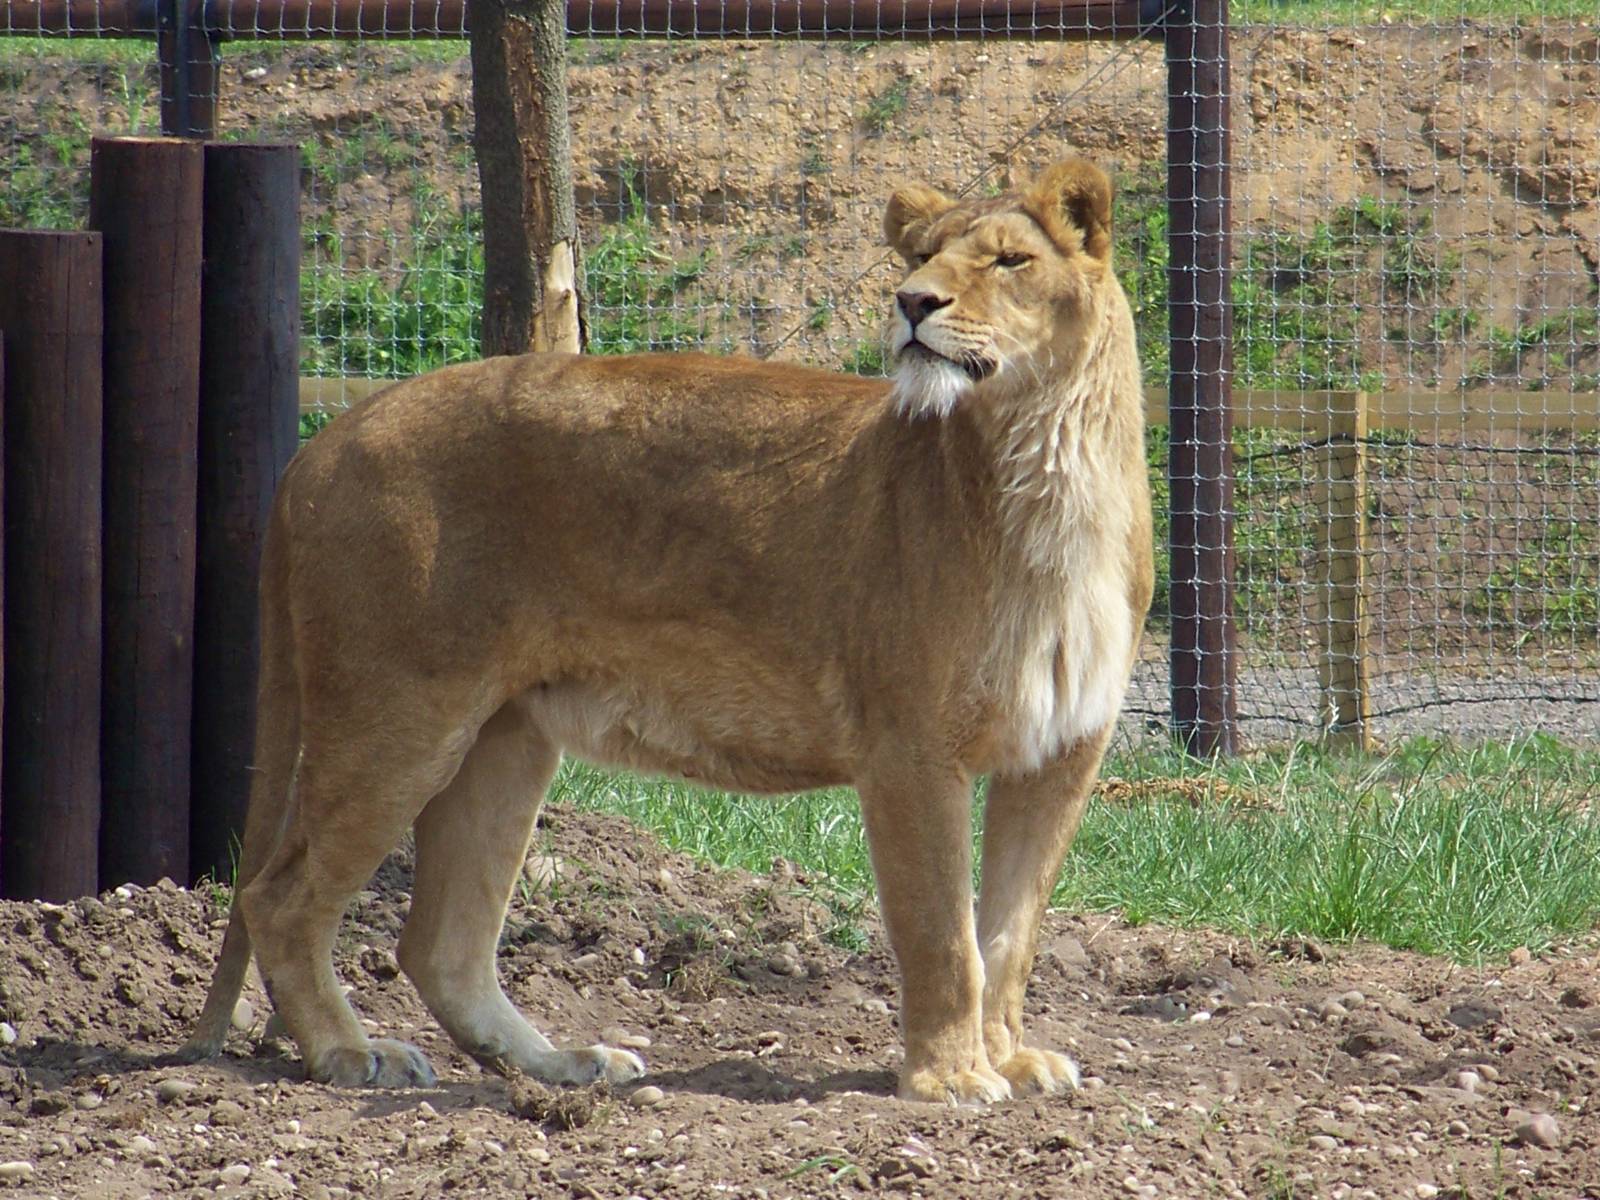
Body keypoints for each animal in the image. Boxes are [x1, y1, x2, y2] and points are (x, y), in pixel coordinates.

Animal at [179, 157, 1153, 1105]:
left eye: (1009, 261)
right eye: (919, 257)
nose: (913, 303)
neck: (1050, 465)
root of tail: (321, 444)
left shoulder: (1063, 753)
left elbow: (1011, 936)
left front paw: (1011, 1061)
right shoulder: (910, 750)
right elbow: (943, 932)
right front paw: (949, 1078)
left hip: (504, 738)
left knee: (440, 945)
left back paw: (563, 1066)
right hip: (398, 720)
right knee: (280, 897)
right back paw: (352, 1054)